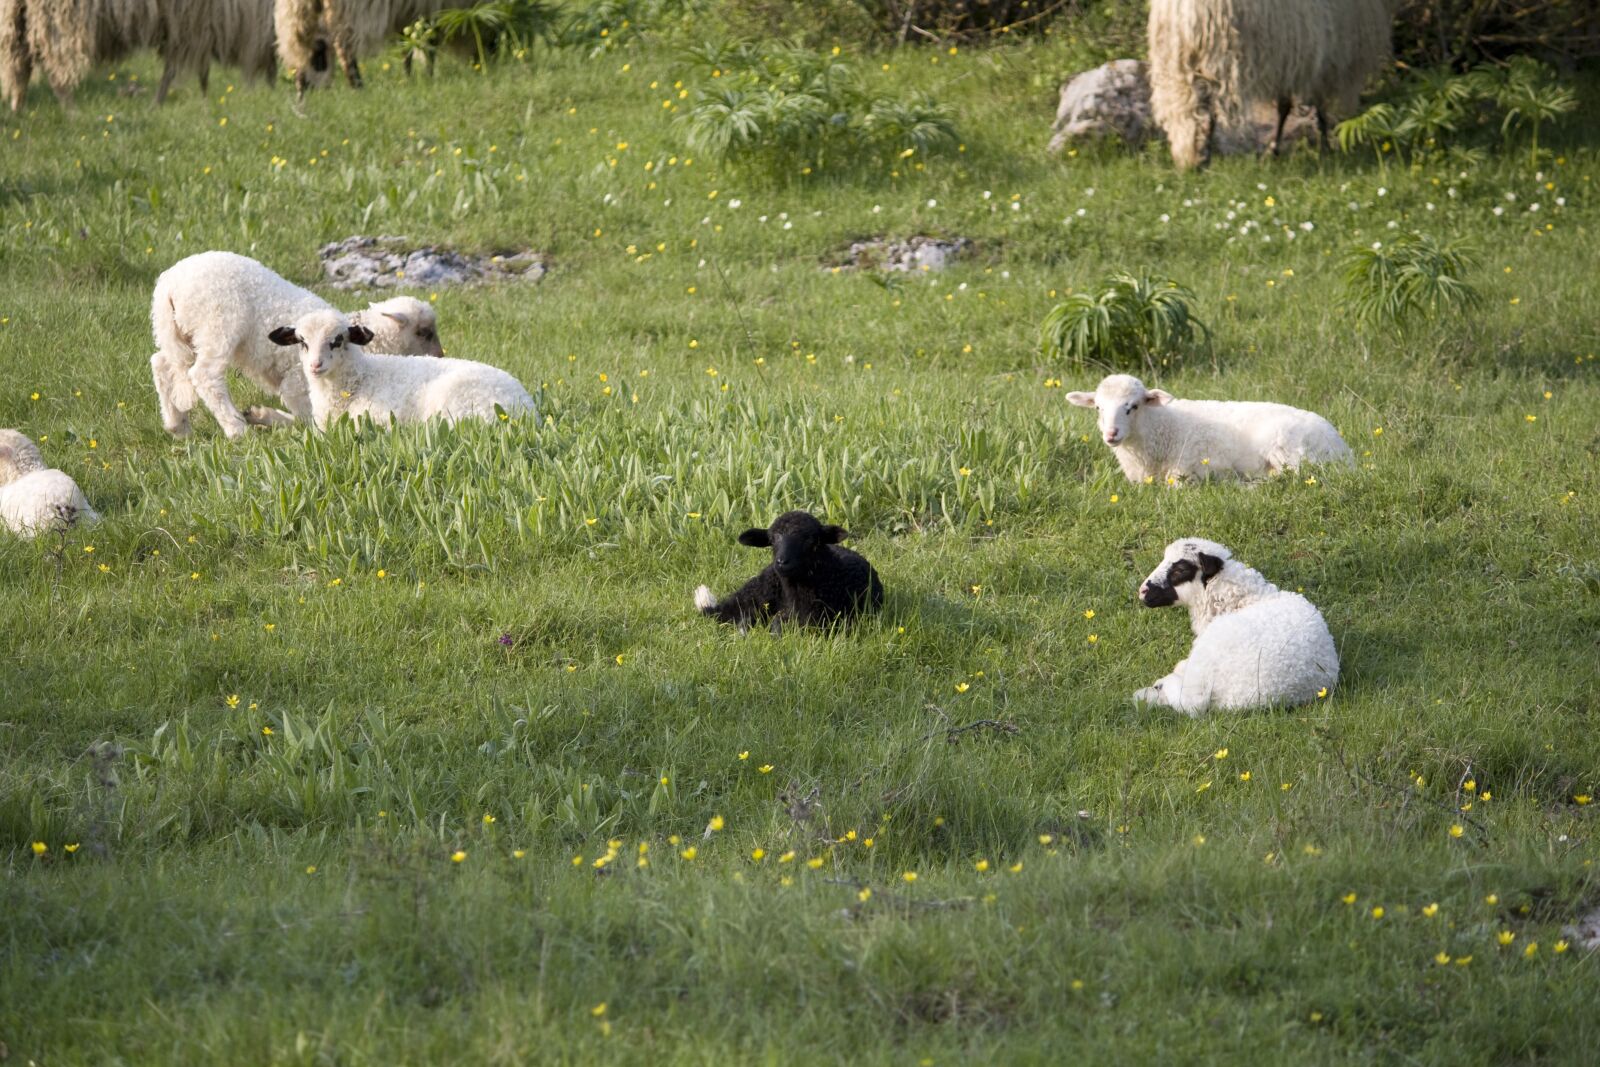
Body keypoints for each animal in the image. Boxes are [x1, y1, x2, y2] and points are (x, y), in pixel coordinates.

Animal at [151, 251, 444, 439]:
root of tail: (168, 284)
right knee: (205, 375)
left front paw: (262, 416)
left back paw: (177, 425)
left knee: (162, 363)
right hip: (217, 324)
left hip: (179, 332)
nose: (442, 356)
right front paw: (266, 417)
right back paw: (236, 429)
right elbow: (307, 417)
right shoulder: (297, 383)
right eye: (425, 333)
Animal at [1065, 374, 1352, 485]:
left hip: (1288, 448)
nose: (1111, 434)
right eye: (1098, 408)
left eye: (1133, 407)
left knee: (1290, 478)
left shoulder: (1190, 469)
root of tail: (1344, 450)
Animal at [1147, 0, 1397, 169]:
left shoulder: (1291, 59)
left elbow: (1286, 106)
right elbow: (1316, 108)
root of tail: (1188, 12)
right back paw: (1200, 158)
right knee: (1208, 110)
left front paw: (1276, 150)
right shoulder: (1322, 58)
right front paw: (1324, 148)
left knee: (1183, 108)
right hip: (1222, 58)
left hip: (1174, 59)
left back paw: (1189, 159)